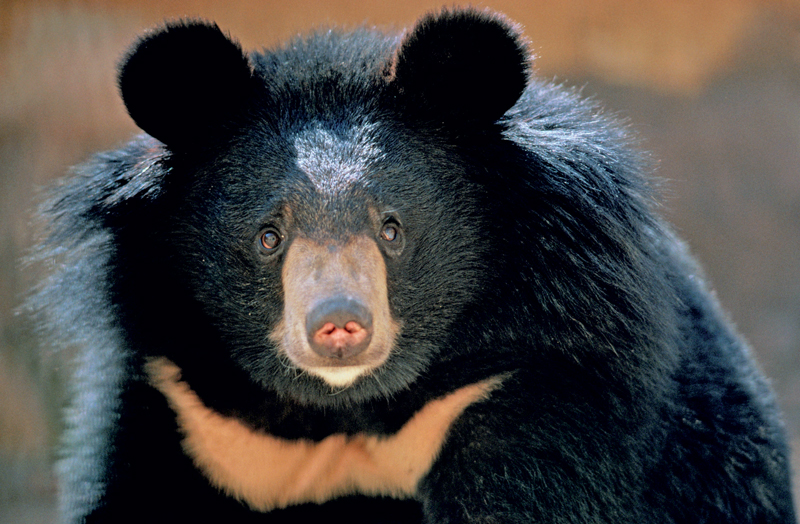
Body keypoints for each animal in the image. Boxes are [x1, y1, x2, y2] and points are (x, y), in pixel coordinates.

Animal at [32, 5, 792, 524]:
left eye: (392, 229)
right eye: (269, 237)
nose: (339, 326)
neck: (343, 412)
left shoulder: (536, 390)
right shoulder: (185, 412)